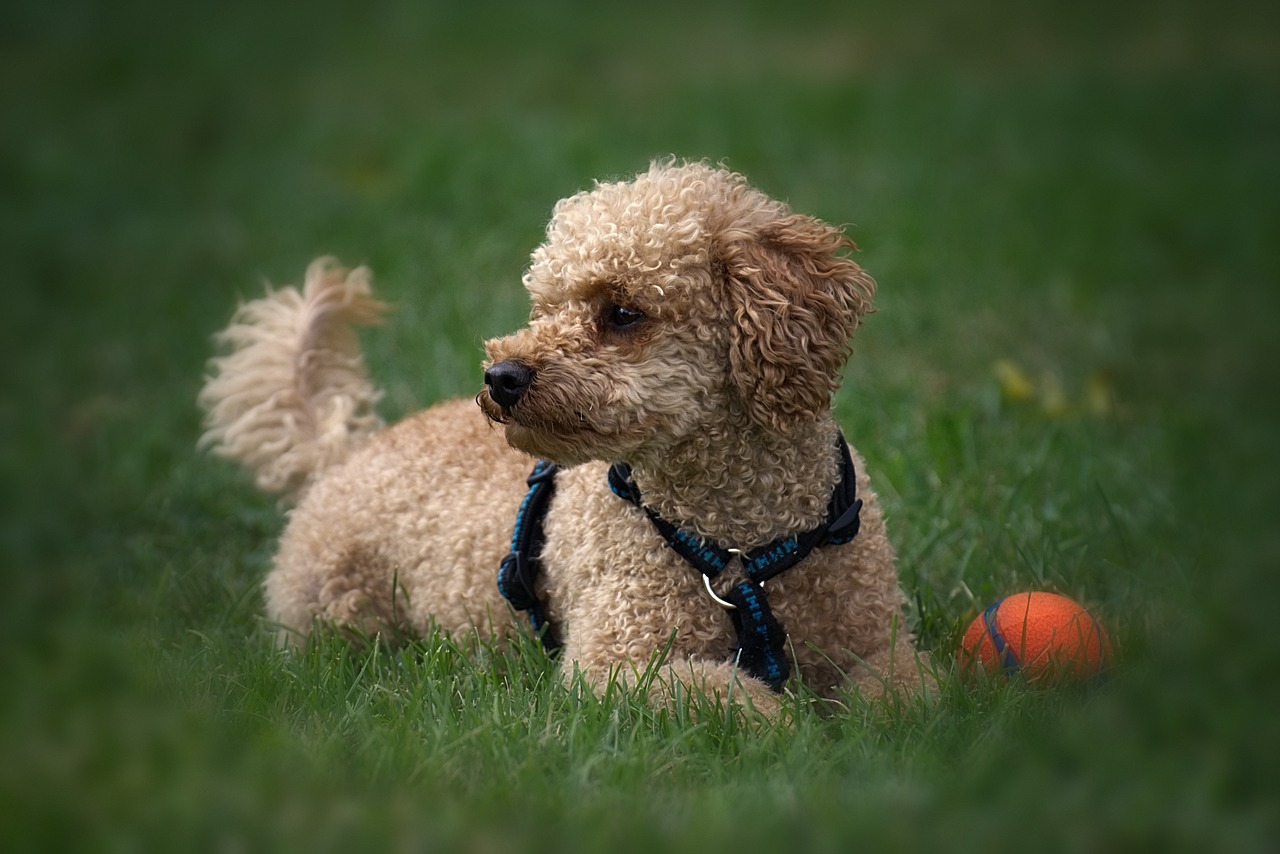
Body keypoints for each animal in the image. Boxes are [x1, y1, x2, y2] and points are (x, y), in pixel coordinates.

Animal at [197, 158, 921, 717]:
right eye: (545, 307)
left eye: (622, 312)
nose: (500, 376)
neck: (741, 542)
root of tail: (344, 453)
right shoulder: (617, 664)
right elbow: (729, 697)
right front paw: (792, 728)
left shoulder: (873, 638)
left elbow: (903, 697)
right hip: (334, 612)